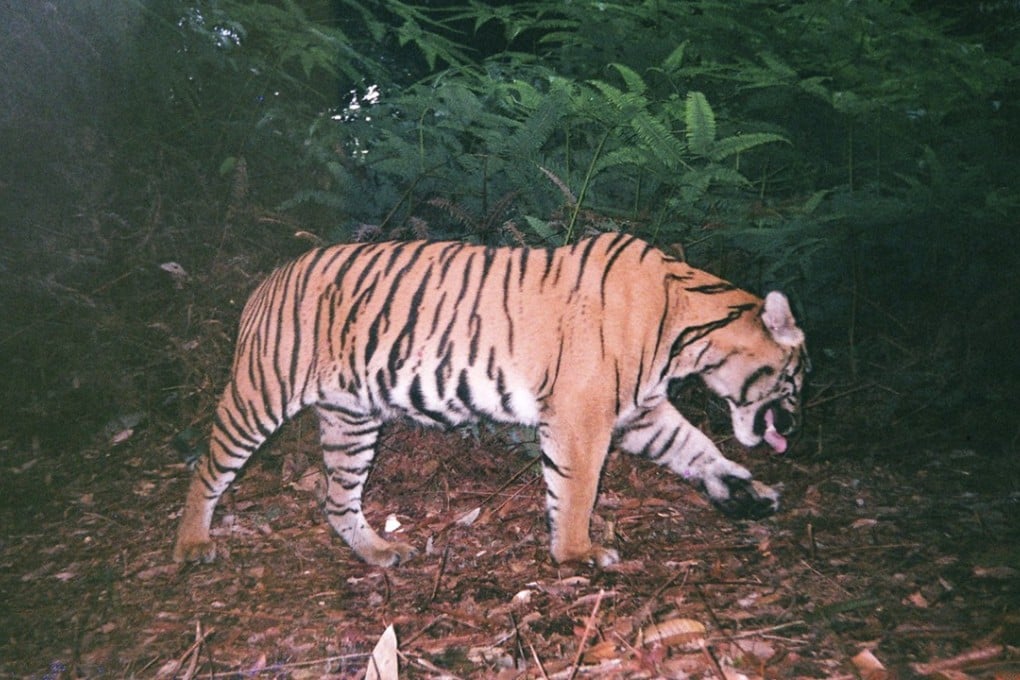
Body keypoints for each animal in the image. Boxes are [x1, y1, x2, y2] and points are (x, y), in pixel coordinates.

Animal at [173, 232, 808, 568]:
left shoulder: (641, 412)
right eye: (798, 378)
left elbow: (697, 448)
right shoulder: (582, 418)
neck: (689, 335)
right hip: (261, 394)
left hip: (351, 418)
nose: (794, 426)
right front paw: (577, 554)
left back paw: (378, 551)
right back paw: (192, 543)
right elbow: (577, 491)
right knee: (208, 469)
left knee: (337, 498)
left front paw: (748, 492)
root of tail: (268, 279)